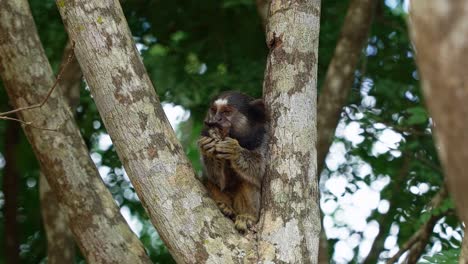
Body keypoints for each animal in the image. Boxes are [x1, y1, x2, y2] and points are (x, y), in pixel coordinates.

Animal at [197, 91, 268, 233]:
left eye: (226, 112)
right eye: (214, 111)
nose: (216, 120)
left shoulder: (263, 137)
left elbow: (261, 171)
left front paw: (235, 151)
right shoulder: (205, 132)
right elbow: (220, 181)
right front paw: (208, 149)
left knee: (247, 181)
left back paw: (248, 216)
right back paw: (225, 208)